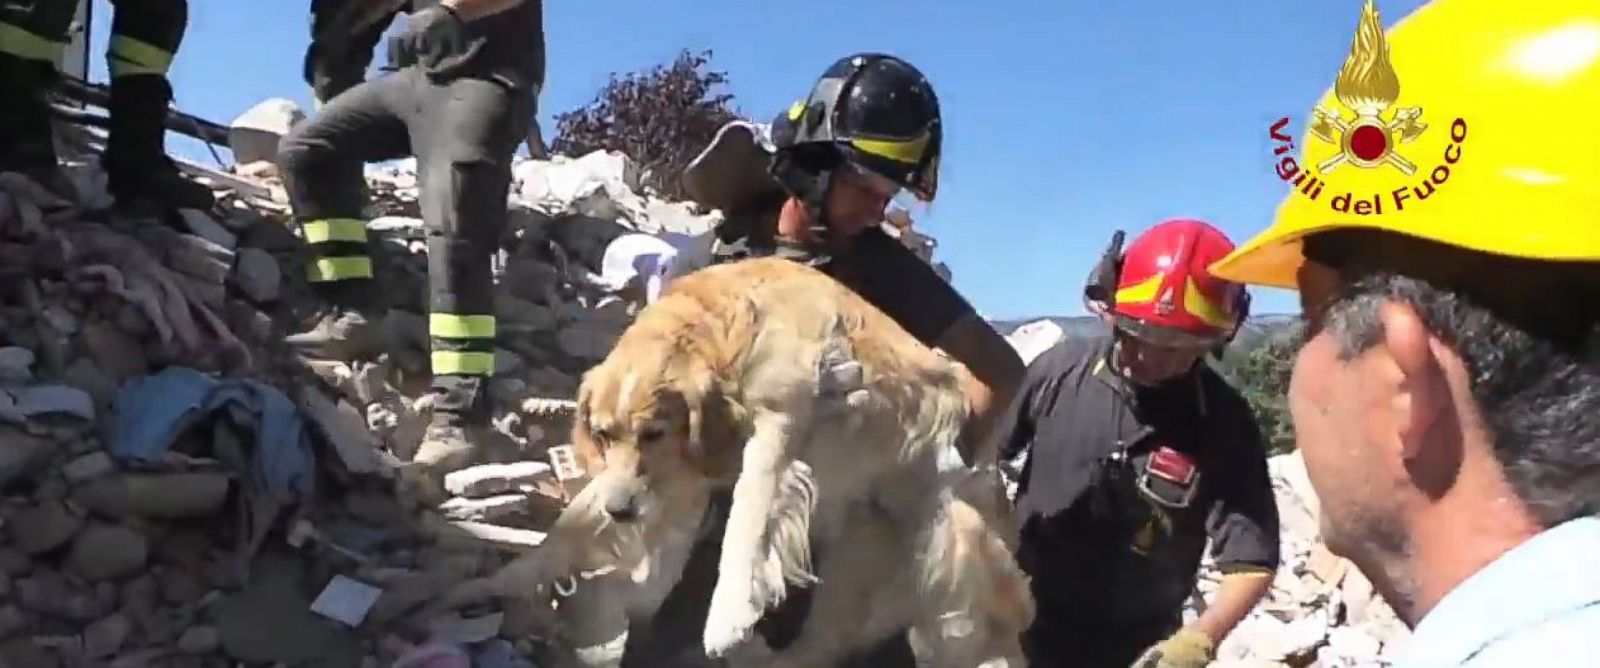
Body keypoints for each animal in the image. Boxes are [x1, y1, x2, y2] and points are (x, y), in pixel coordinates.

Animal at [457, 257, 1030, 668]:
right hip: (857, 560)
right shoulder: (679, 474)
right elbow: (572, 524)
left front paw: (728, 618)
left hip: (946, 565)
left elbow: (748, 516)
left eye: (654, 433)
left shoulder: (781, 420)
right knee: (826, 642)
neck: (727, 324)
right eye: (602, 434)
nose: (622, 513)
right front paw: (499, 580)